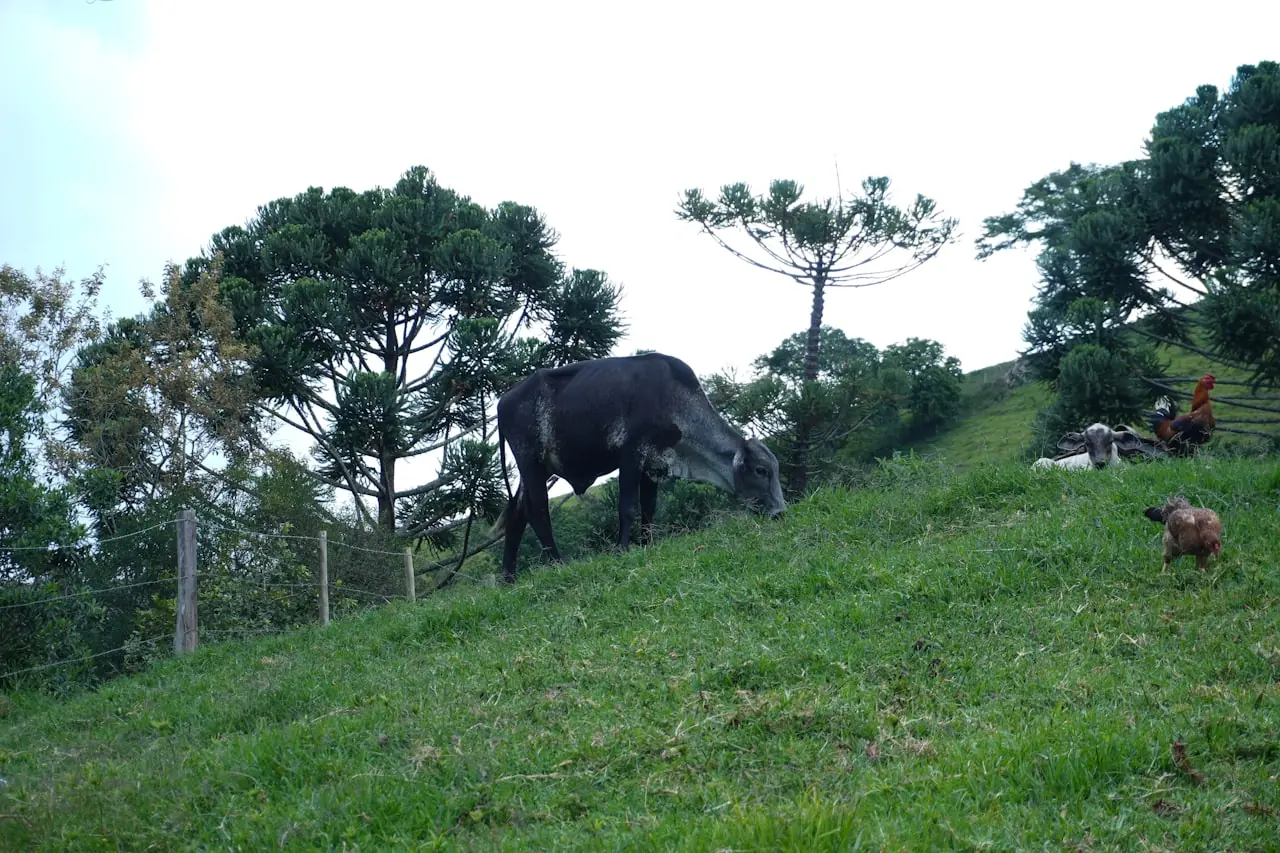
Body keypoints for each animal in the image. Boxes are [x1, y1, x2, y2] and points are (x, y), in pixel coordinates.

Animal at [490, 352, 787, 583]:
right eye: (761, 470)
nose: (780, 512)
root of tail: (503, 402)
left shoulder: (654, 463)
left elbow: (649, 508)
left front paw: (647, 543)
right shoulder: (632, 455)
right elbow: (628, 507)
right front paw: (622, 549)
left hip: (535, 471)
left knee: (517, 515)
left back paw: (508, 577)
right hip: (531, 464)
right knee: (538, 511)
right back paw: (557, 562)